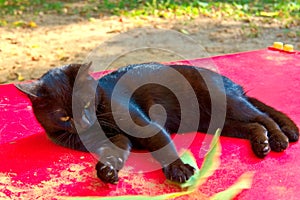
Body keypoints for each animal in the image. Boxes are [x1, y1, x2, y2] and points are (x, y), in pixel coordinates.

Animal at [15, 62, 298, 184]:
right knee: (255, 126)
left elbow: (162, 144)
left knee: (263, 117)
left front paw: (179, 169)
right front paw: (108, 171)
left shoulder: (145, 124)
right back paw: (261, 145)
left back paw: (279, 139)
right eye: (64, 115)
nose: (84, 122)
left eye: (84, 103)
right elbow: (115, 152)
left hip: (228, 103)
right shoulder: (117, 140)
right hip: (219, 123)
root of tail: (232, 84)